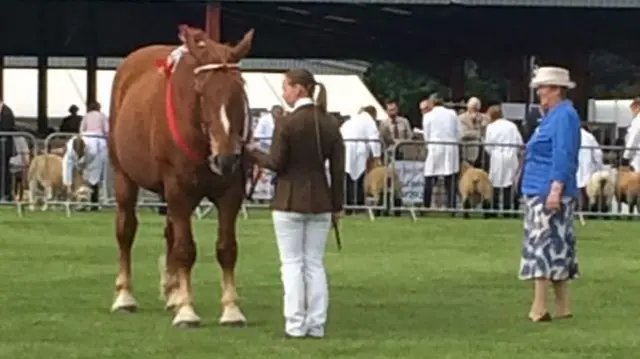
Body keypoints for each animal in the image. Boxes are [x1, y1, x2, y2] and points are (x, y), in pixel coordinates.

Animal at [107, 25, 252, 330]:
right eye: (201, 93)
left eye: (239, 88)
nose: (225, 159)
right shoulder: (178, 190)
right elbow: (185, 249)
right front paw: (187, 311)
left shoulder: (230, 191)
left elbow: (227, 248)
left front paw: (231, 309)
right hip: (124, 176)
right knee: (126, 230)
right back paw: (125, 296)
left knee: (170, 232)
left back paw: (173, 291)